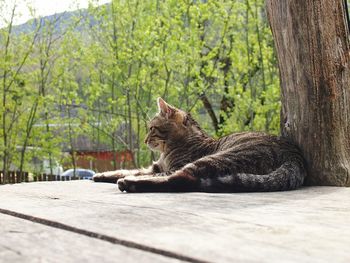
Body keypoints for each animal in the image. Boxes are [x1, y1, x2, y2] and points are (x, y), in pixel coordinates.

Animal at [93, 98, 306, 193]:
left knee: (181, 179)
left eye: (152, 128)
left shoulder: (167, 168)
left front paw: (128, 178)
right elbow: (127, 169)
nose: (145, 140)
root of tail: (295, 157)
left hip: (218, 158)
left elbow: (142, 173)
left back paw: (130, 184)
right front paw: (102, 175)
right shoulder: (155, 166)